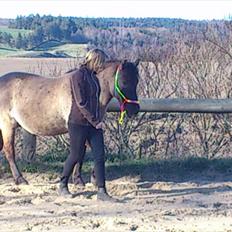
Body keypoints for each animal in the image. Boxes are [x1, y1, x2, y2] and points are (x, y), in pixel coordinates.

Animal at [0, 59, 140, 185]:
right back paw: (20, 179)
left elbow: (83, 153)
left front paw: (81, 179)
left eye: (137, 81)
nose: (135, 110)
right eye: (124, 81)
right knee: (9, 151)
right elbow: (81, 152)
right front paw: (83, 178)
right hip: (7, 126)